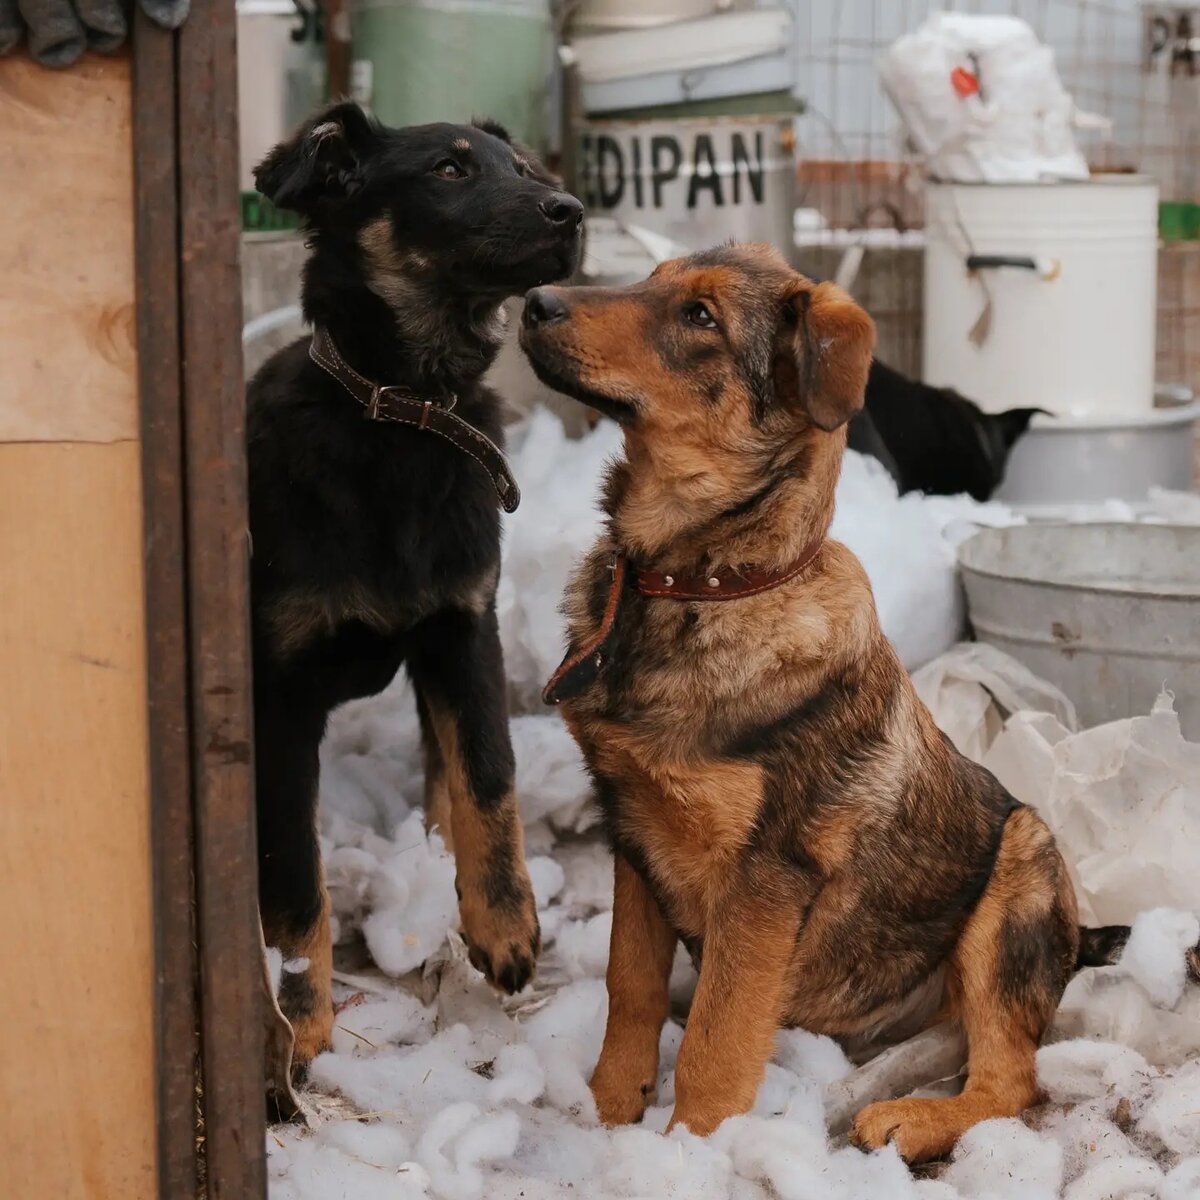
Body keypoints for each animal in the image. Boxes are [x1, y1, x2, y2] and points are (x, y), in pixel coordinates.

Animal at [247, 105, 580, 1080]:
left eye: (525, 168)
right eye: (449, 170)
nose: (572, 212)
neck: (406, 411)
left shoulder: (462, 628)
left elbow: (489, 774)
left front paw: (505, 926)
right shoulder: (279, 695)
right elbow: (294, 876)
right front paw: (302, 1022)